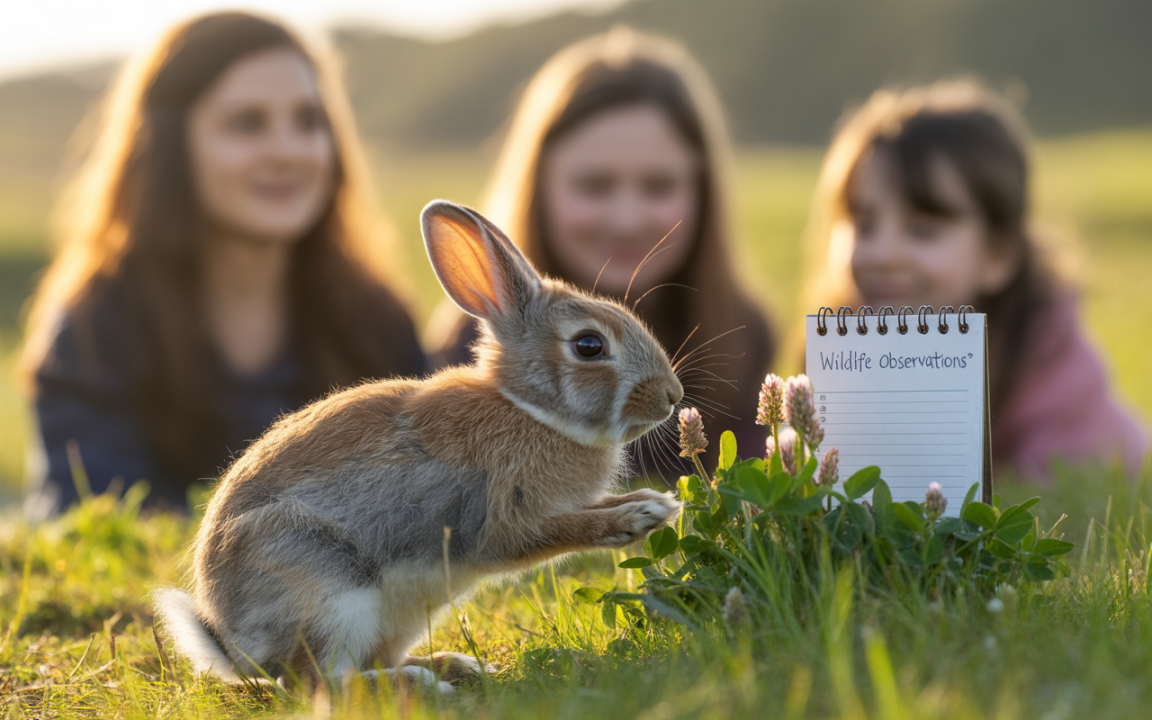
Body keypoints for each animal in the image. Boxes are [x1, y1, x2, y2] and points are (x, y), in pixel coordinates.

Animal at [154, 200, 684, 693]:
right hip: (324, 587)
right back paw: (421, 684)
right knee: (324, 682)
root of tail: (237, 649)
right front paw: (636, 518)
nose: (672, 396)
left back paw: (457, 666)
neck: (529, 409)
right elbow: (553, 531)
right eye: (589, 346)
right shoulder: (501, 515)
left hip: (401, 615)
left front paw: (656, 504)